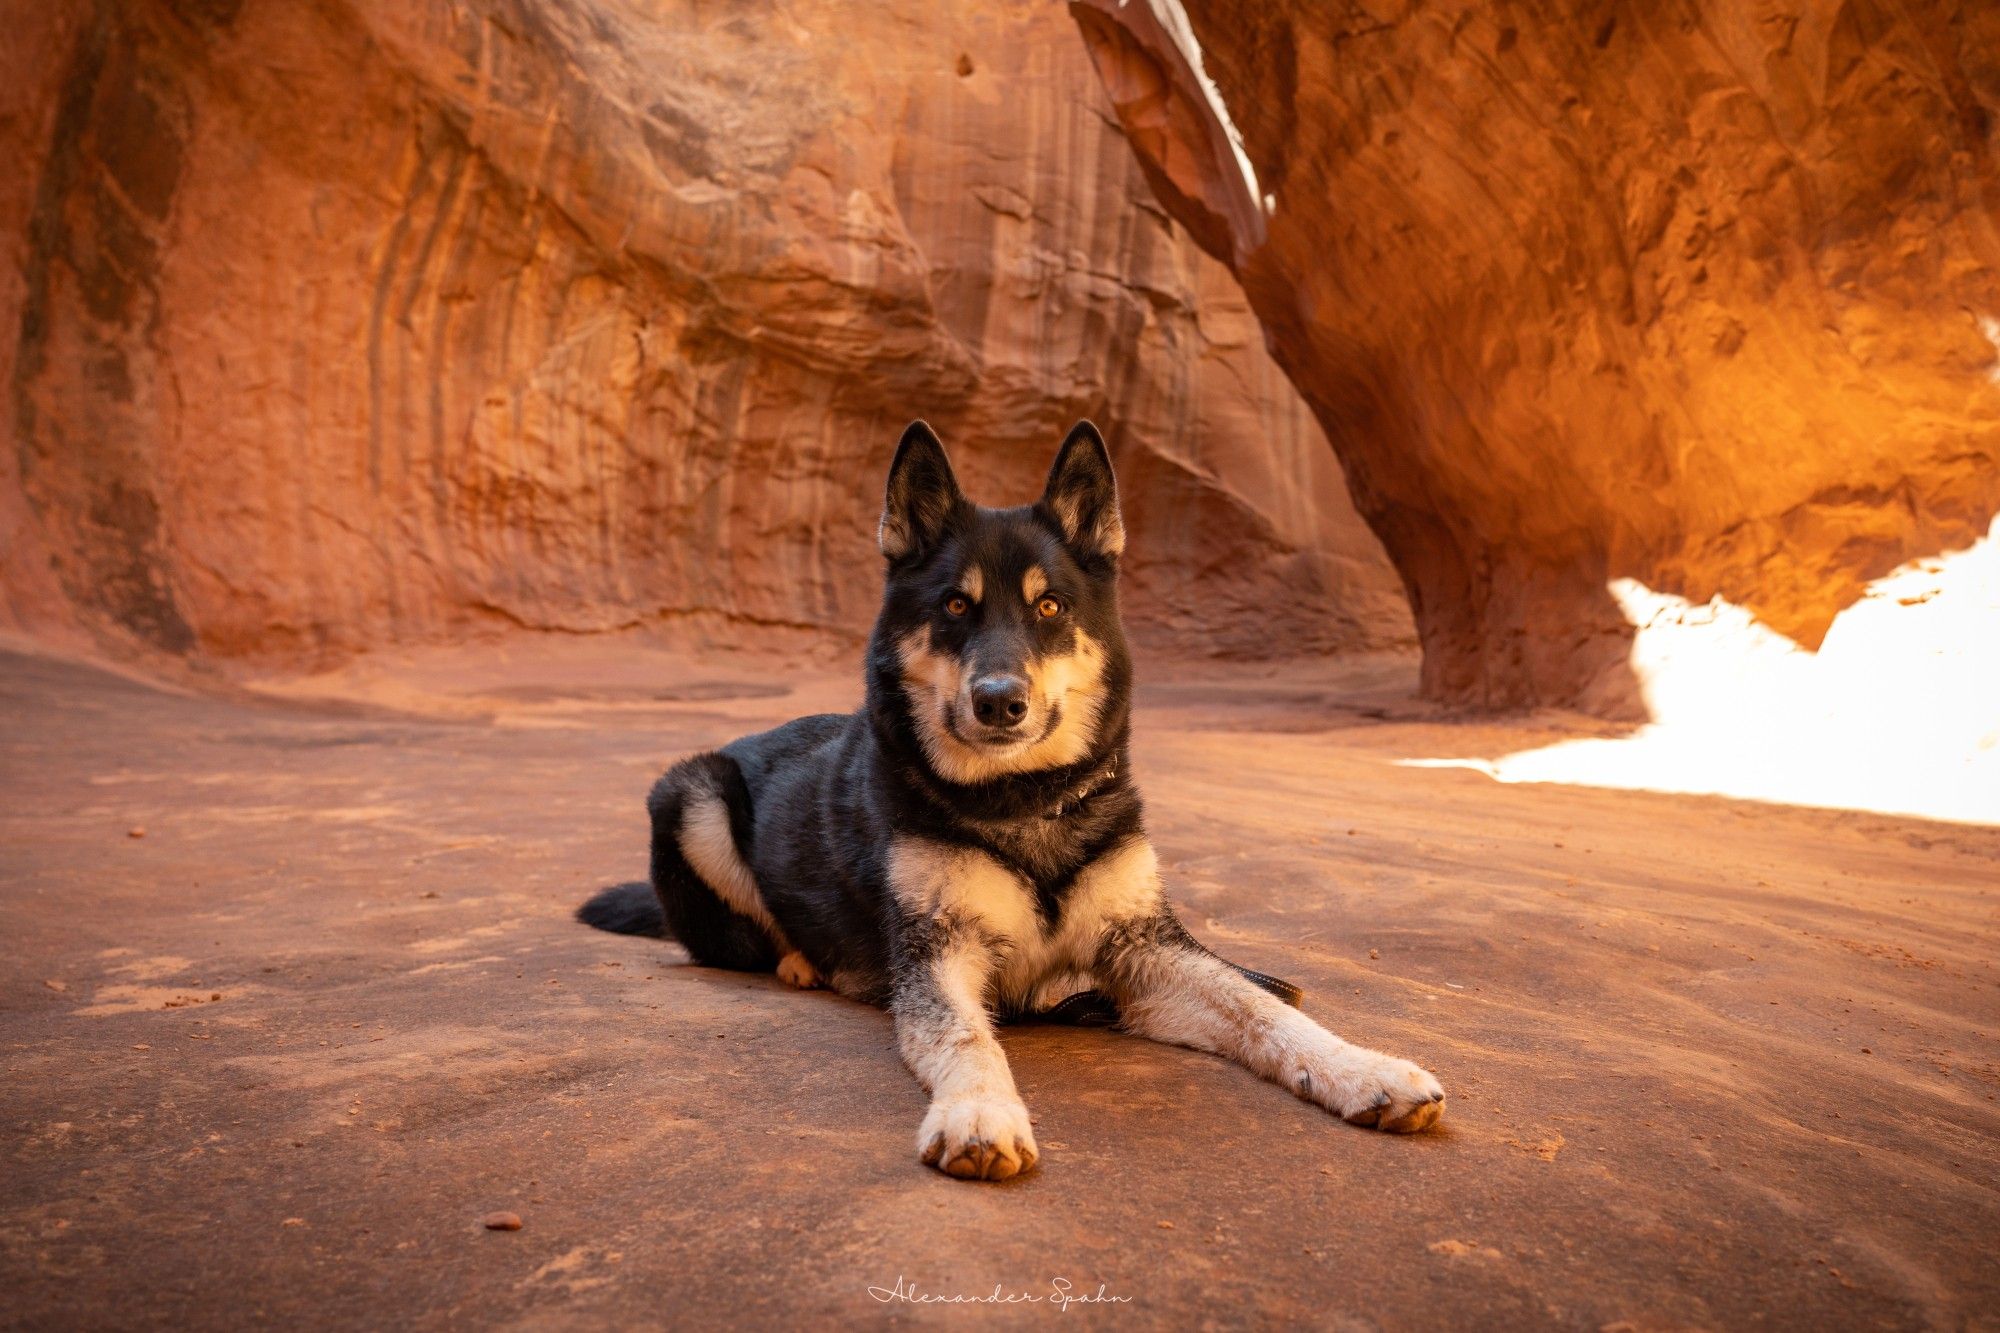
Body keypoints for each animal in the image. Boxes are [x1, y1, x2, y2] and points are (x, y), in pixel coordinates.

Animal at [580, 420, 1440, 1176]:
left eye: (1050, 606)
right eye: (956, 606)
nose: (999, 702)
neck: (1025, 800)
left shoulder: (1146, 950)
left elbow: (1267, 1012)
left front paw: (1363, 1067)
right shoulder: (940, 953)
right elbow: (967, 1038)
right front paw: (979, 1113)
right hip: (693, 792)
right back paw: (805, 963)